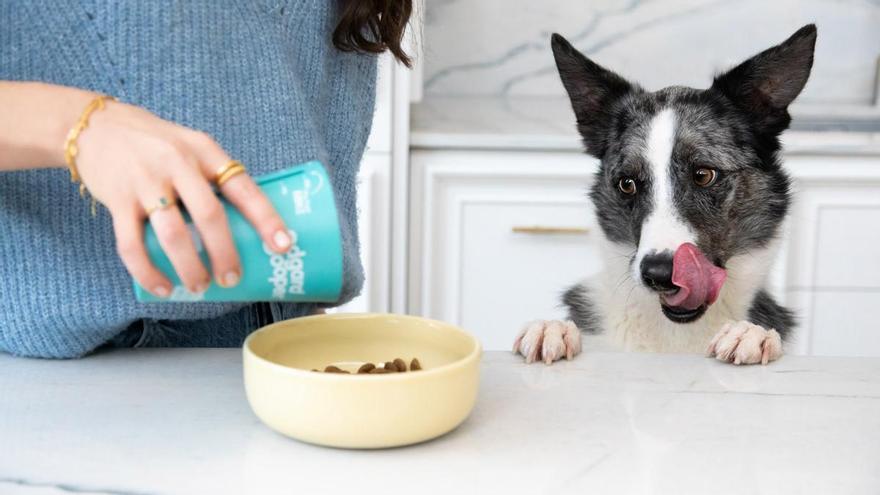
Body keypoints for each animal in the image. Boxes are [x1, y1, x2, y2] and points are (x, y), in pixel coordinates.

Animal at [512, 24, 816, 364]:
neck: (676, 331)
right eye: (627, 183)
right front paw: (553, 329)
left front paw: (751, 333)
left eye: (703, 174)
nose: (659, 275)